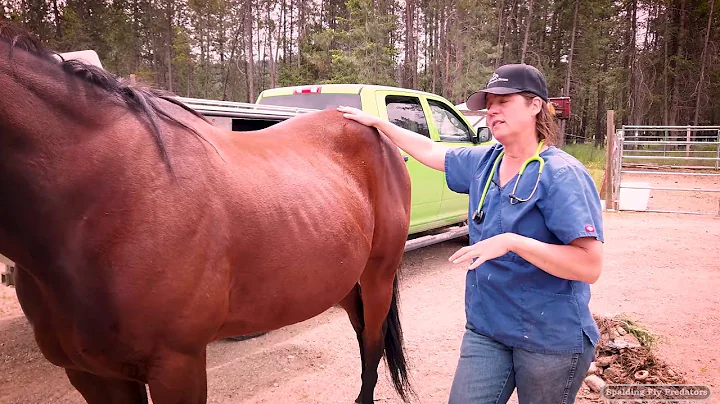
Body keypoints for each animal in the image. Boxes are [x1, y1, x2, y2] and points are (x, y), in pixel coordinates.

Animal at [0, 22, 413, 404]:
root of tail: (378, 136)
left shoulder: (176, 365)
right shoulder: (92, 374)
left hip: (378, 274)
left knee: (373, 342)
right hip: (343, 279)